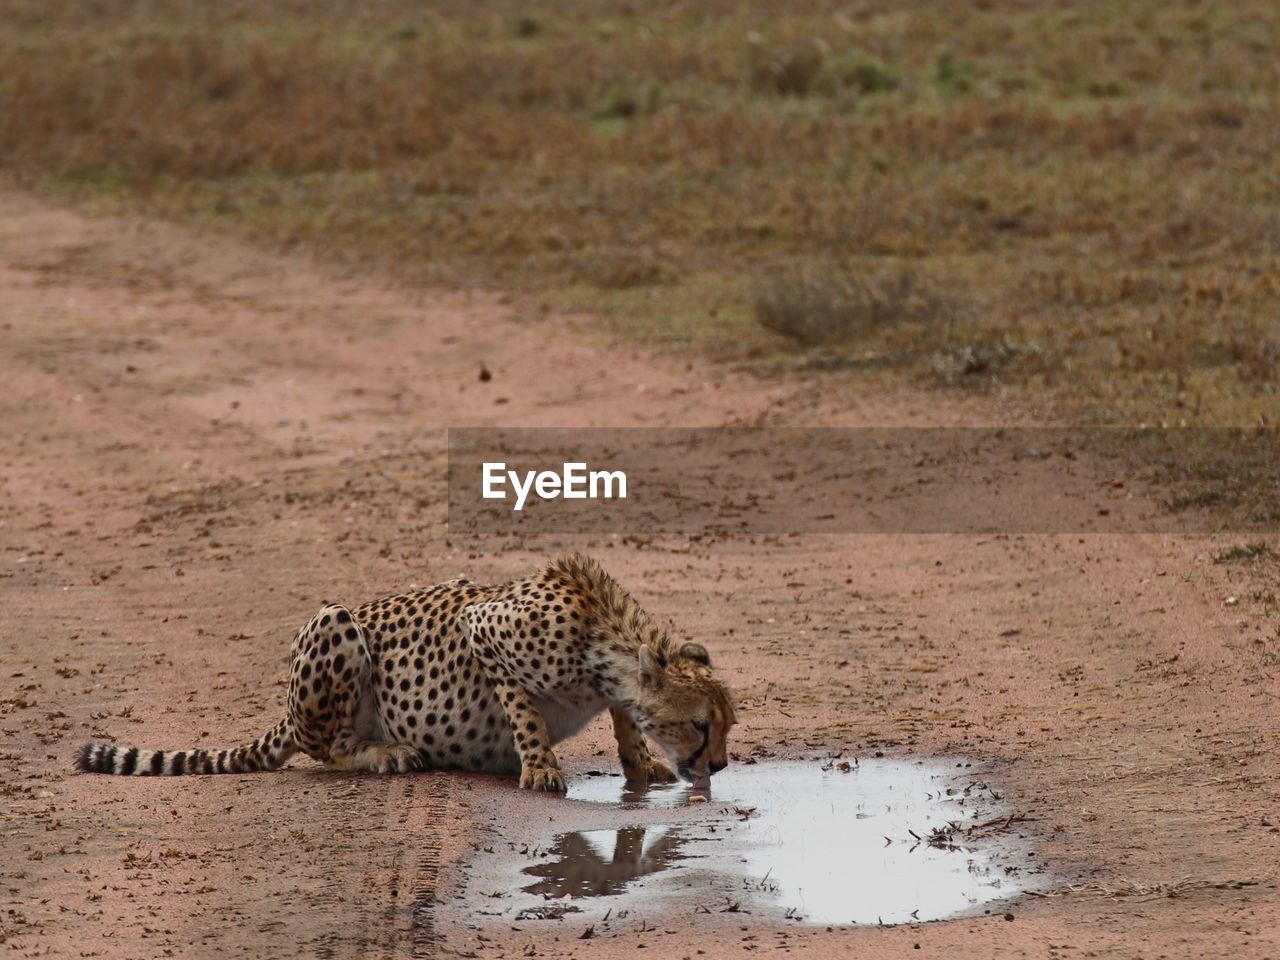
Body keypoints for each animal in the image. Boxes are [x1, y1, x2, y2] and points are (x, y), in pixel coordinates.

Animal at [74, 552, 737, 793]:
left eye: (727, 726)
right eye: (701, 726)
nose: (722, 766)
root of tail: (286, 713)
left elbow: (627, 717)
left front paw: (640, 763)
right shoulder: (481, 626)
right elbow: (523, 711)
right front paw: (540, 766)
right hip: (333, 622)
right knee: (328, 748)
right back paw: (384, 752)